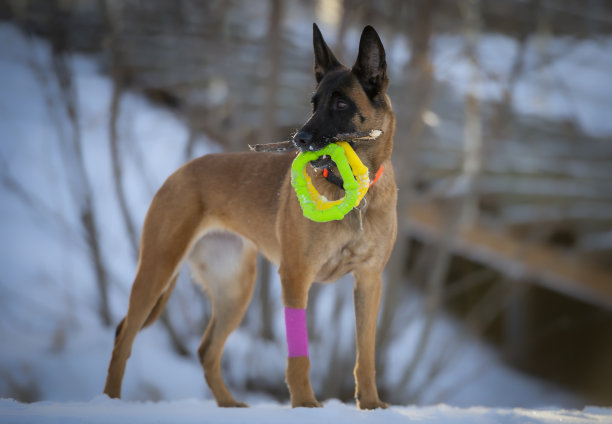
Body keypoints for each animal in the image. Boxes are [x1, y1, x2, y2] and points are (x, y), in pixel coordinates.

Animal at [104, 23, 396, 410]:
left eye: (341, 103)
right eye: (314, 103)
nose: (299, 138)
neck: (354, 194)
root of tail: (181, 171)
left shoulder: (369, 281)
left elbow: (366, 351)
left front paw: (371, 404)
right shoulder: (296, 276)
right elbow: (298, 356)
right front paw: (305, 405)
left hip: (235, 289)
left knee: (207, 351)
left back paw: (229, 406)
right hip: (158, 270)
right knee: (125, 337)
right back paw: (109, 400)